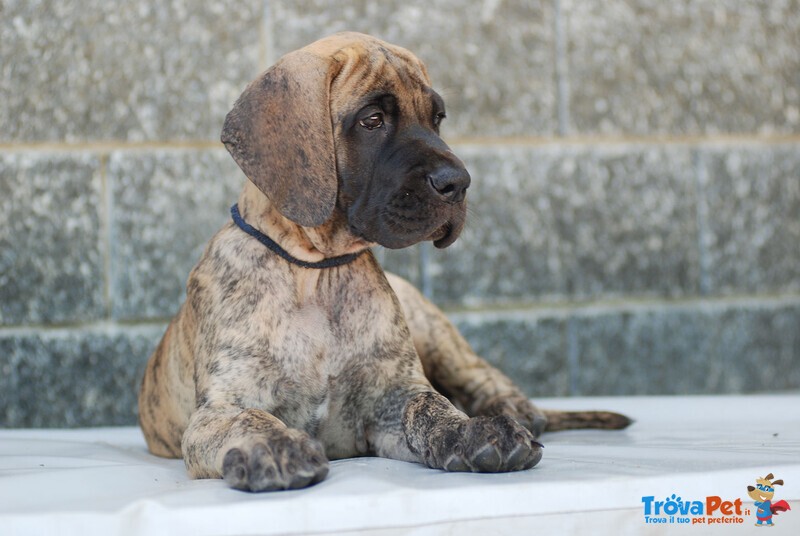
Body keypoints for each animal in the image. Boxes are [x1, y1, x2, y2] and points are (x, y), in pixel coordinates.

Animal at [139, 32, 632, 494]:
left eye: (437, 119)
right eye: (372, 120)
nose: (459, 183)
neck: (315, 272)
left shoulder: (390, 397)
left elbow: (430, 407)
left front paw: (472, 430)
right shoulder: (220, 409)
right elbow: (250, 419)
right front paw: (274, 446)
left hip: (434, 330)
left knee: (483, 378)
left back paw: (514, 410)